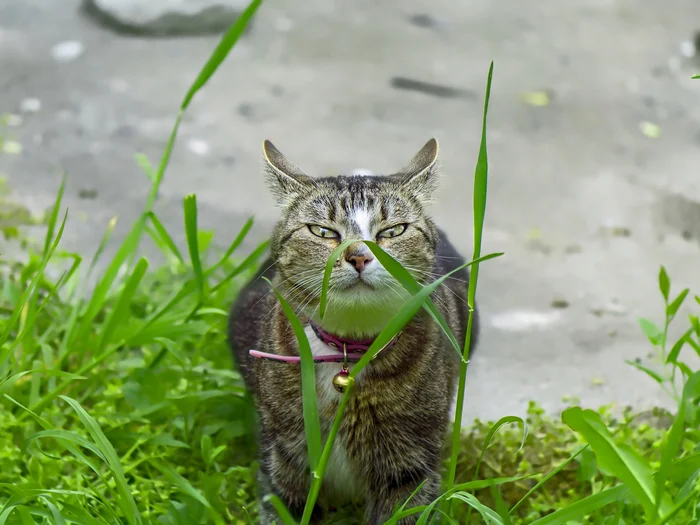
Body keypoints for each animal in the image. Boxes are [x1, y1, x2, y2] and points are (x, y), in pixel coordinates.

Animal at [227, 139, 478, 524]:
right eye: (323, 232)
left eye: (392, 231)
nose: (359, 256)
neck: (347, 350)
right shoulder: (282, 456)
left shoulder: (411, 465)